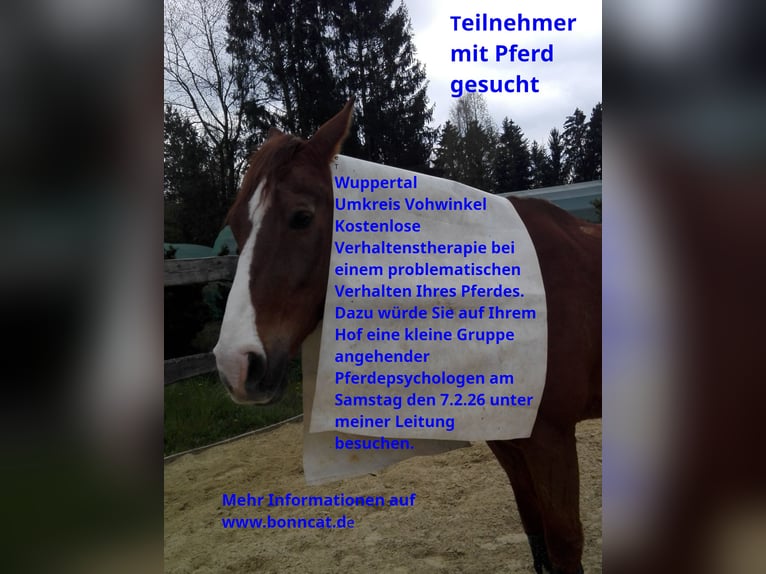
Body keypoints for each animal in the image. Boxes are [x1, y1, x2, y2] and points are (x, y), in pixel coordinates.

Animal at [213, 99, 601, 574]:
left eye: (301, 217)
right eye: (235, 223)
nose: (235, 365)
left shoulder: (552, 438)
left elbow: (564, 544)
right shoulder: (507, 435)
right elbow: (535, 530)